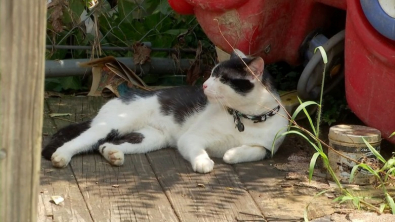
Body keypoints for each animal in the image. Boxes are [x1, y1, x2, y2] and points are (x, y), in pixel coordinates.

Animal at [43, 50, 290, 173]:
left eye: (222, 79)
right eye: (211, 74)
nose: (204, 85)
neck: (245, 117)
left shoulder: (269, 147)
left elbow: (252, 151)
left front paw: (231, 153)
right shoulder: (190, 137)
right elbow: (198, 150)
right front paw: (203, 162)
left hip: (150, 138)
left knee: (105, 144)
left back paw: (114, 155)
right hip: (113, 124)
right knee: (81, 141)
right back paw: (61, 157)